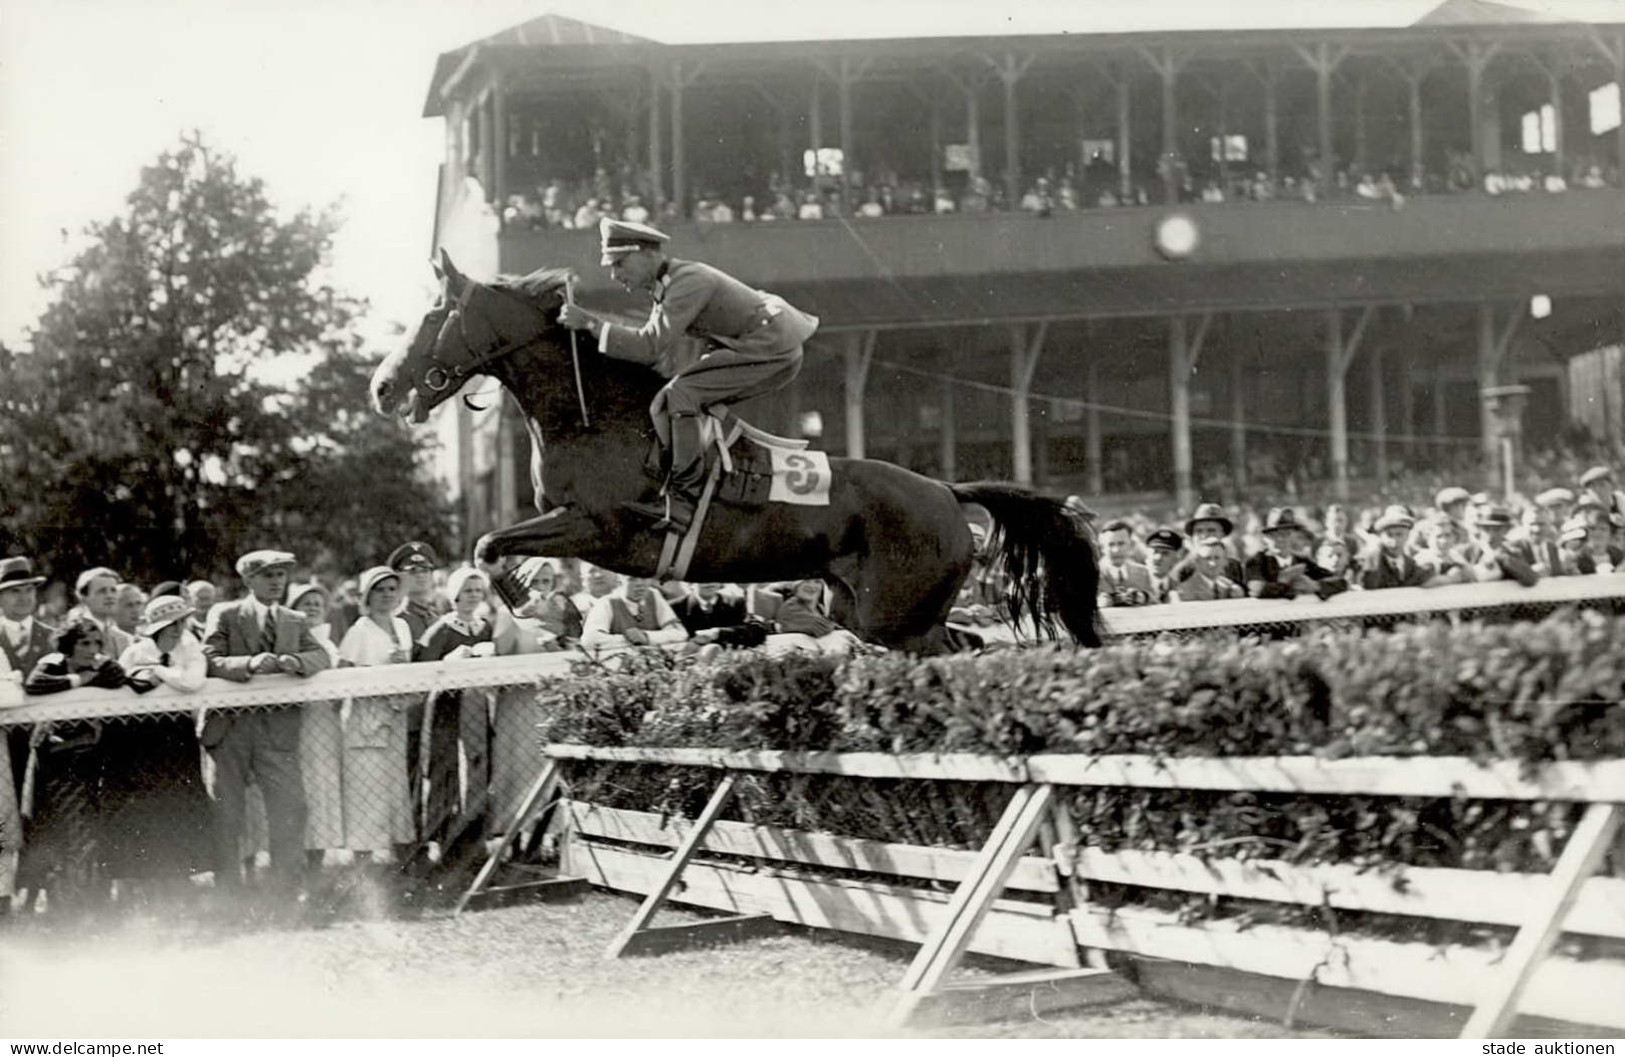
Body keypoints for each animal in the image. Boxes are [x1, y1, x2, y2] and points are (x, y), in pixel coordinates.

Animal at [370, 253, 1105, 650]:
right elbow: (490, 543)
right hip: (866, 611)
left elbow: (489, 543)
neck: (590, 417)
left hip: (897, 616)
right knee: (959, 644)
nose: (382, 386)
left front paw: (519, 597)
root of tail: (948, 492)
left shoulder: (595, 527)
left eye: (433, 314)